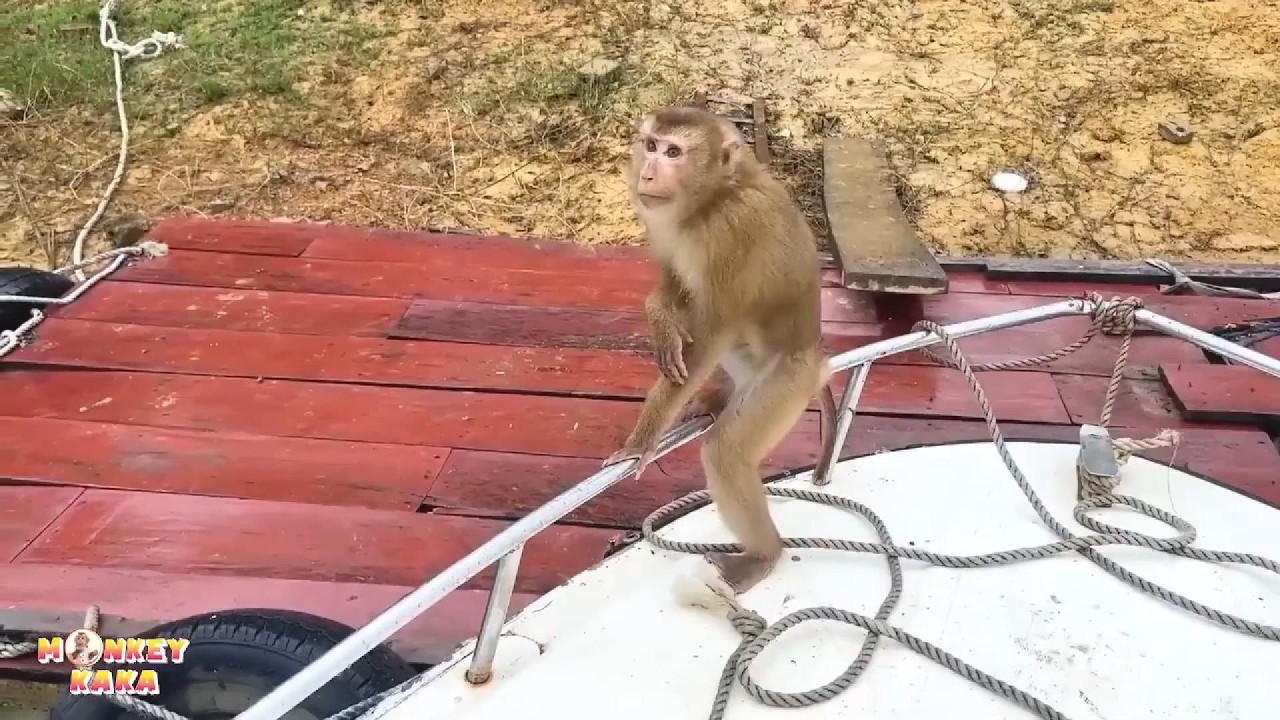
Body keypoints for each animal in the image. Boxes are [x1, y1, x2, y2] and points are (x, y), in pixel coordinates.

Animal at [603, 104, 839, 595]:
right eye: (651, 145)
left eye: (674, 152)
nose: (648, 171)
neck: (711, 199)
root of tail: (818, 363)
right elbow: (675, 279)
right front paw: (660, 315)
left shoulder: (729, 234)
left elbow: (714, 329)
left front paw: (640, 442)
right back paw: (719, 392)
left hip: (784, 385)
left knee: (726, 453)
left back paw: (765, 554)